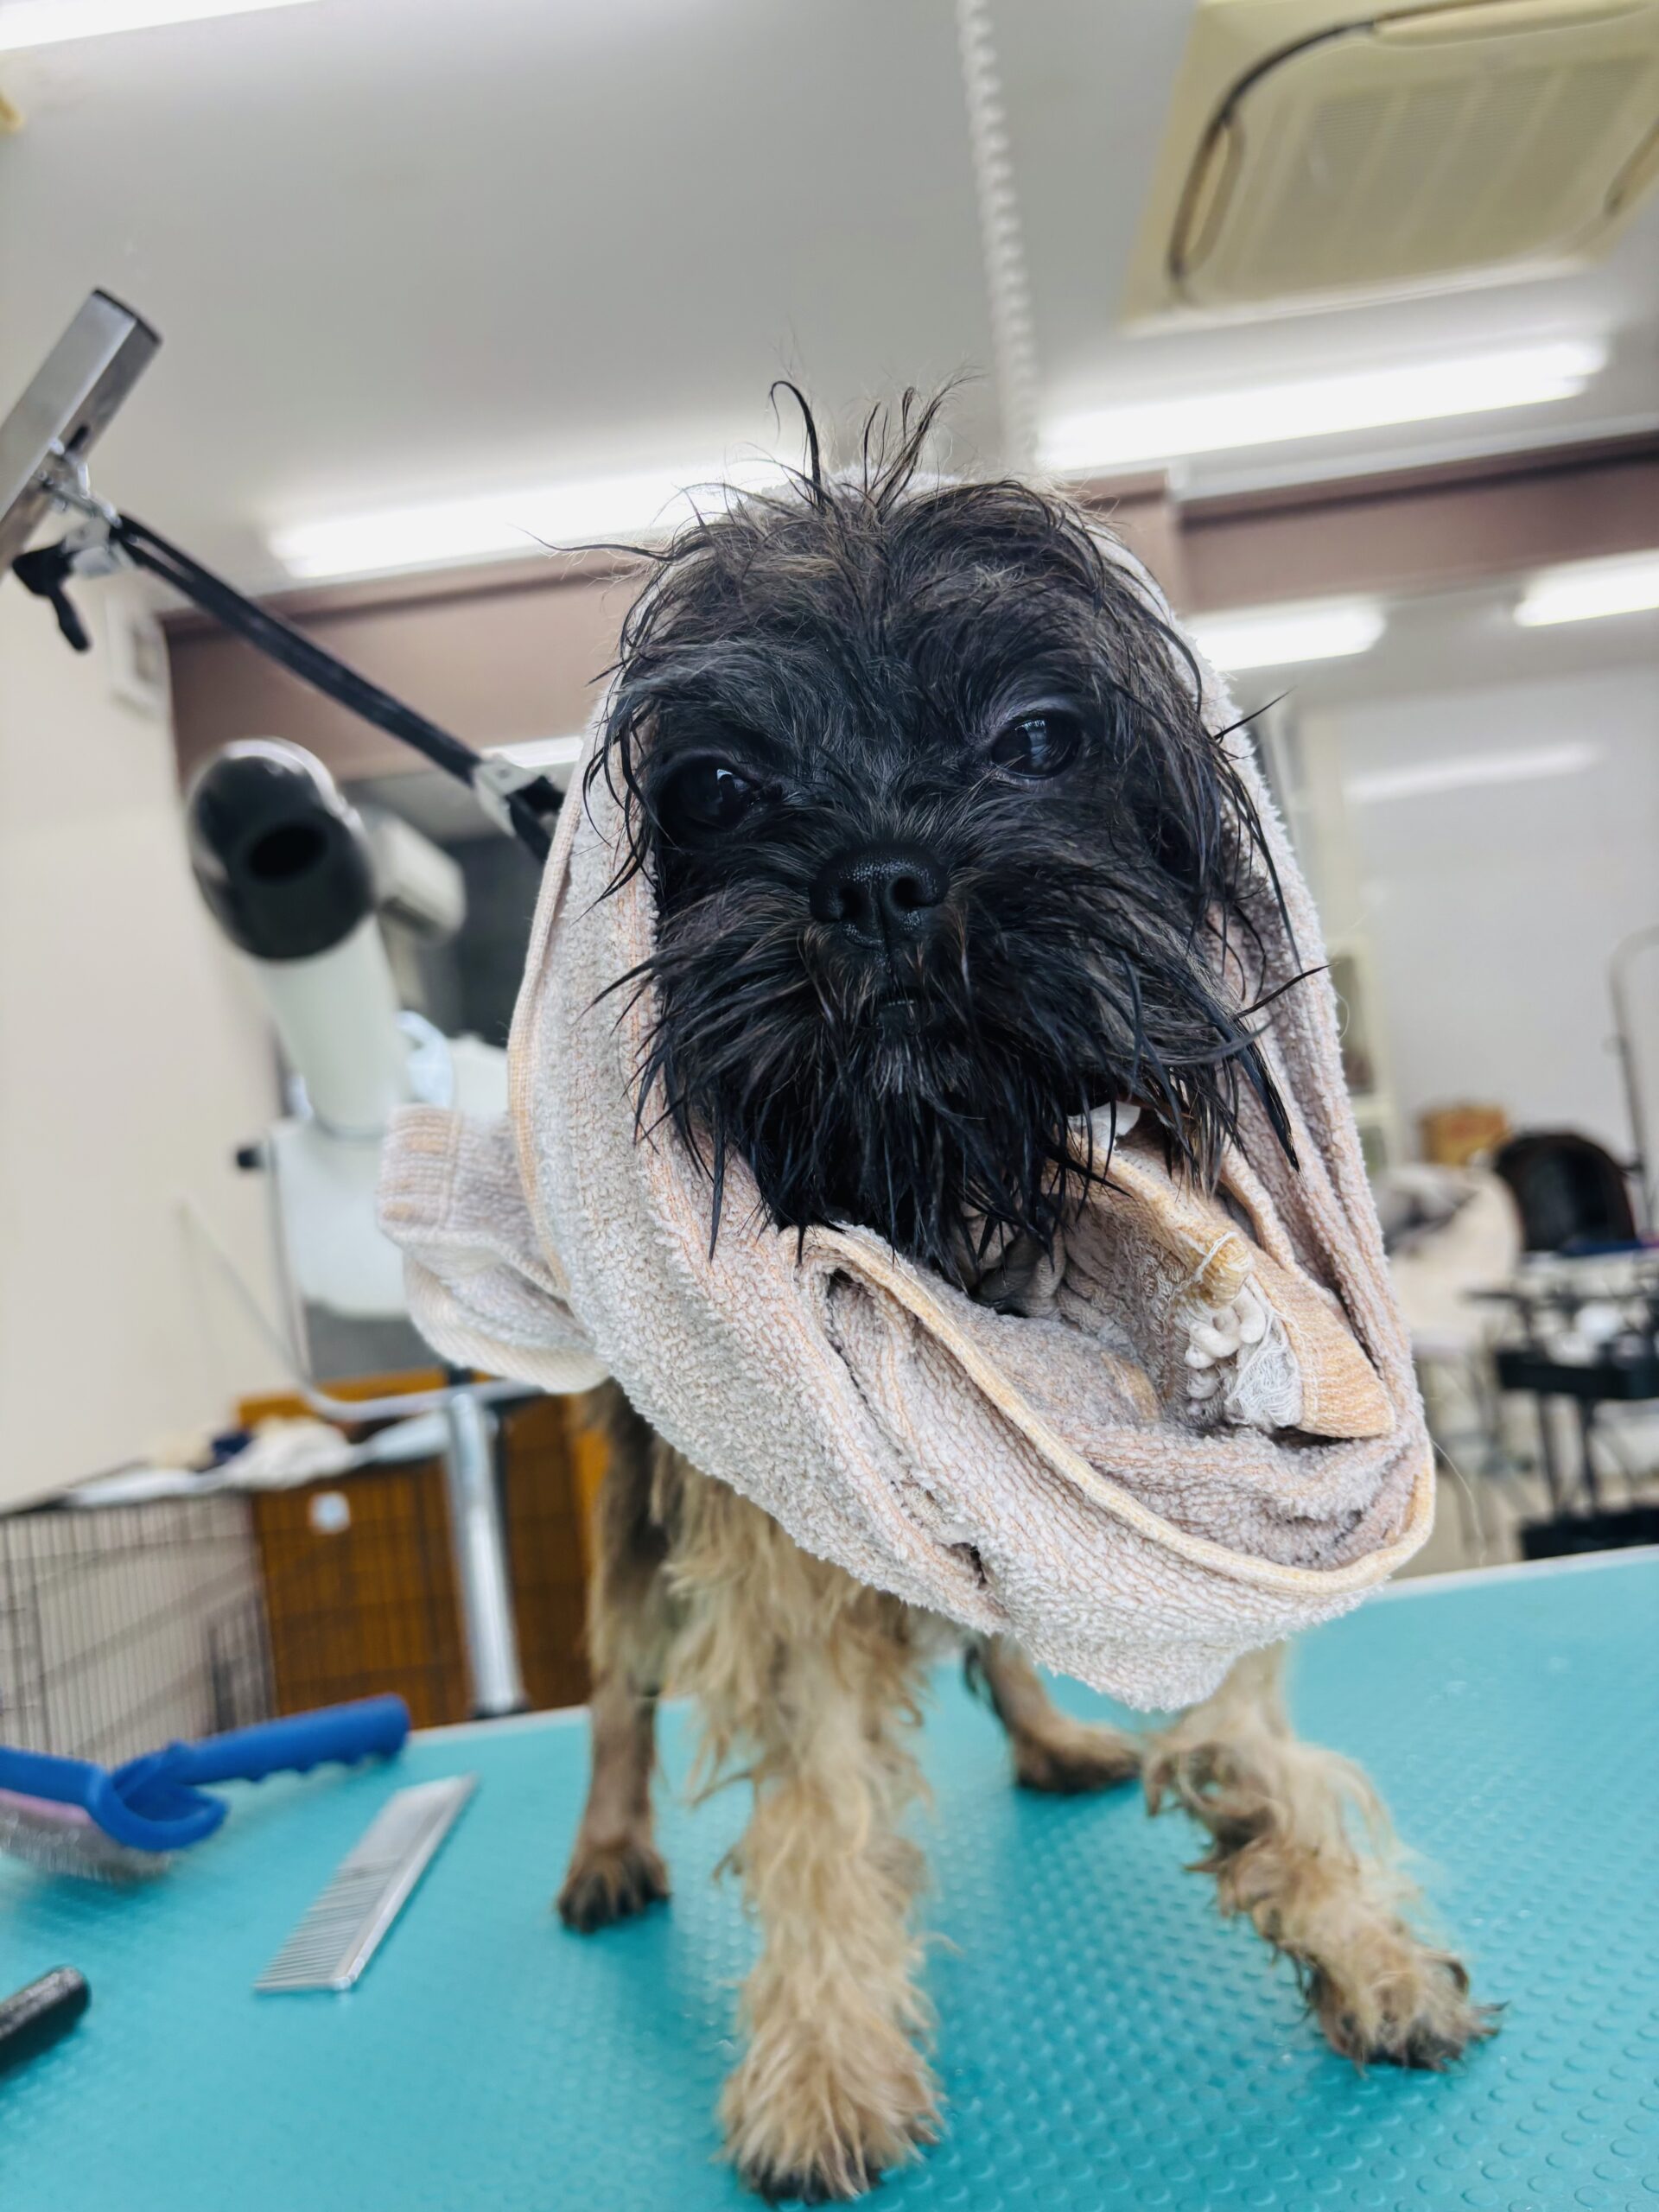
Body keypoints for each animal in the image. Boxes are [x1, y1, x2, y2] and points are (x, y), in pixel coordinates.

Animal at [554, 396, 1493, 2201]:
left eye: (1039, 740)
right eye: (721, 786)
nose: (875, 873)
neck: (948, 1184)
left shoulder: (1159, 1491)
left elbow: (1245, 1718)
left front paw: (1347, 1928)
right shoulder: (785, 1528)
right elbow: (821, 1807)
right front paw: (825, 2069)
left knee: (988, 1639)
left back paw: (1054, 1737)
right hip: (638, 1514)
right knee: (619, 1687)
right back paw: (609, 1845)